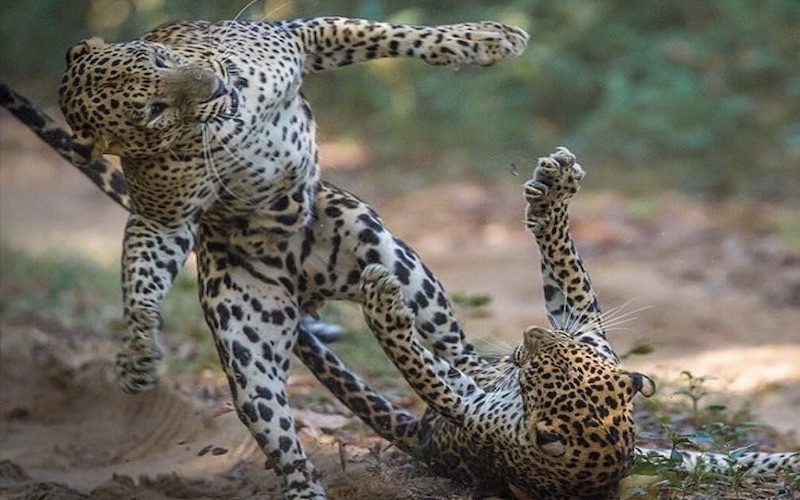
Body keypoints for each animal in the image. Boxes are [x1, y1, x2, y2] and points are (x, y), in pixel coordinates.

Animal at [0, 16, 529, 499]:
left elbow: (391, 34)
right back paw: (306, 488)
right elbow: (141, 274)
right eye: (152, 109)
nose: (215, 82)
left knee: (456, 350)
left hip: (392, 259)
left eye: (159, 59)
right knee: (284, 442)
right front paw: (137, 350)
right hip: (249, 352)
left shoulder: (299, 35)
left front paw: (487, 40)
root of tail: (306, 285)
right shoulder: (162, 218)